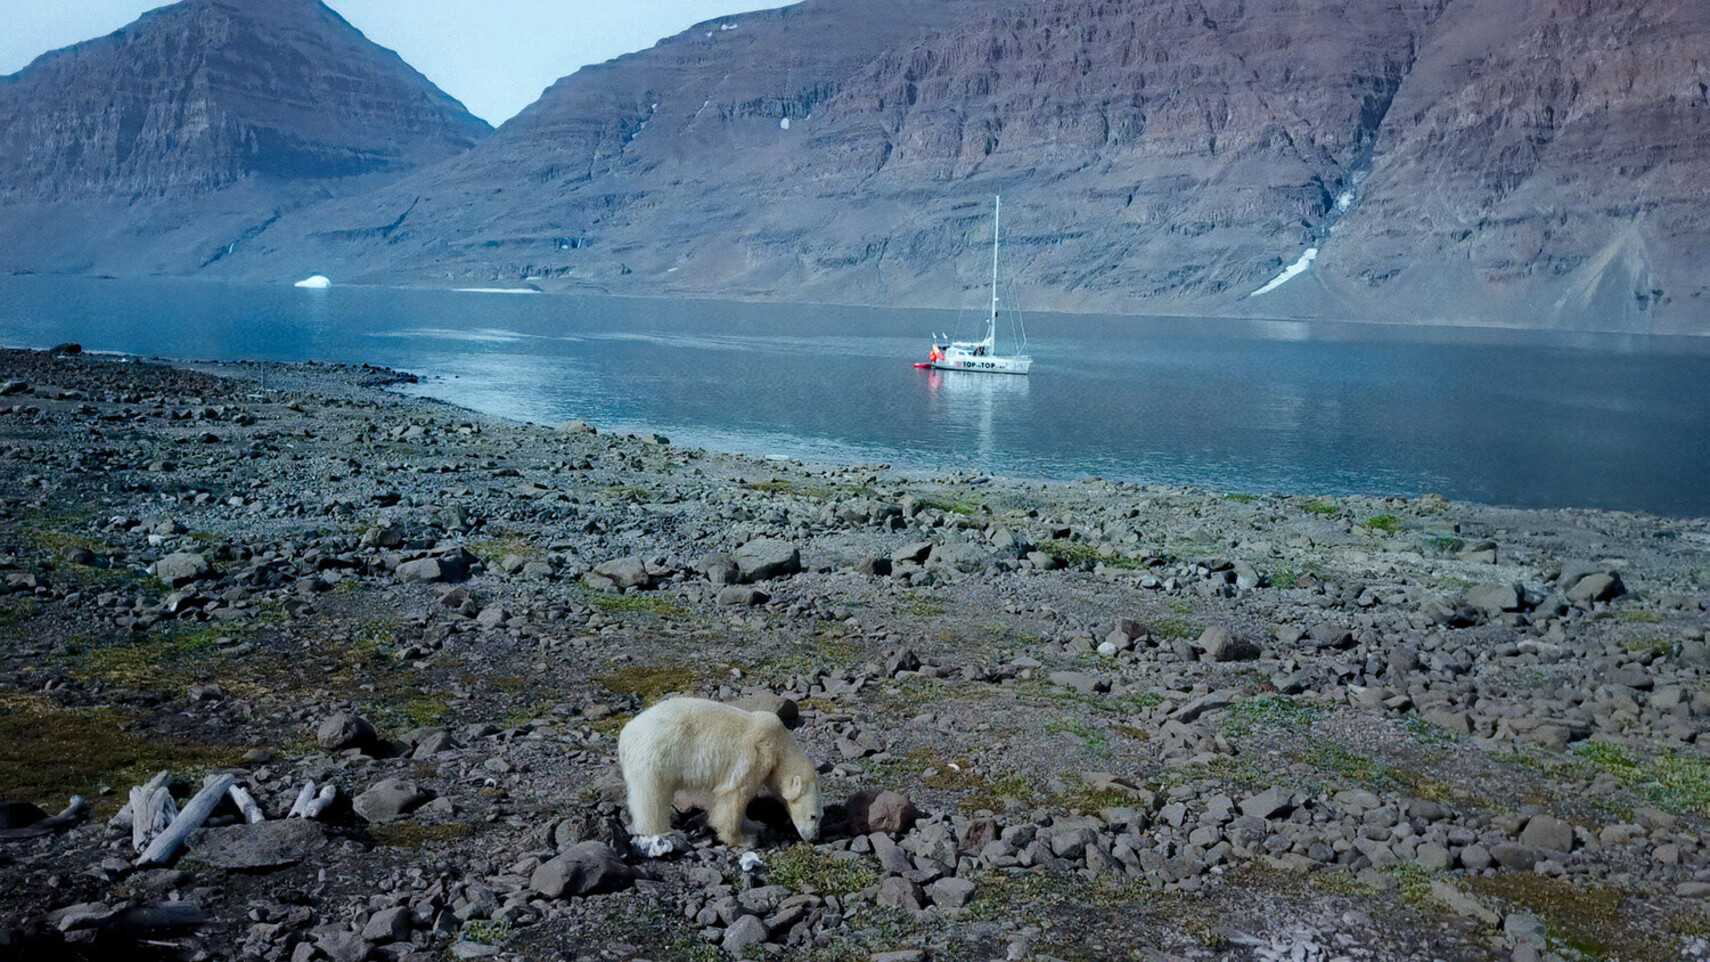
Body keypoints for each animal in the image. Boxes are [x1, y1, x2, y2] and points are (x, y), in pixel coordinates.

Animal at [617, 696, 822, 848]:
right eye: (813, 816)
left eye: (820, 817)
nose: (814, 838)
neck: (779, 744)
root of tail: (625, 734)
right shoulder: (755, 757)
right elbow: (734, 797)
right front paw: (742, 840)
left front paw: (755, 824)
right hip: (656, 755)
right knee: (652, 797)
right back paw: (666, 831)